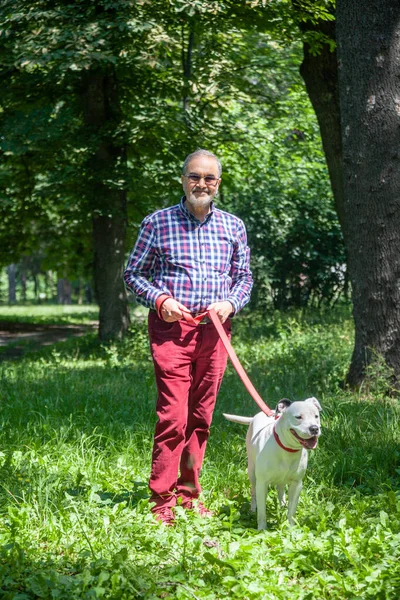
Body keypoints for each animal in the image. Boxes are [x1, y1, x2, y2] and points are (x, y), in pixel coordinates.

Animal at [225, 398, 322, 528]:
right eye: (298, 417)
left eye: (316, 416)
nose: (314, 428)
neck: (287, 449)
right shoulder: (262, 484)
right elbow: (262, 513)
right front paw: (262, 529)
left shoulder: (297, 484)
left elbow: (292, 510)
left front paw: (291, 527)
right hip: (252, 472)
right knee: (253, 492)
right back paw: (252, 509)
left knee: (280, 489)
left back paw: (283, 506)